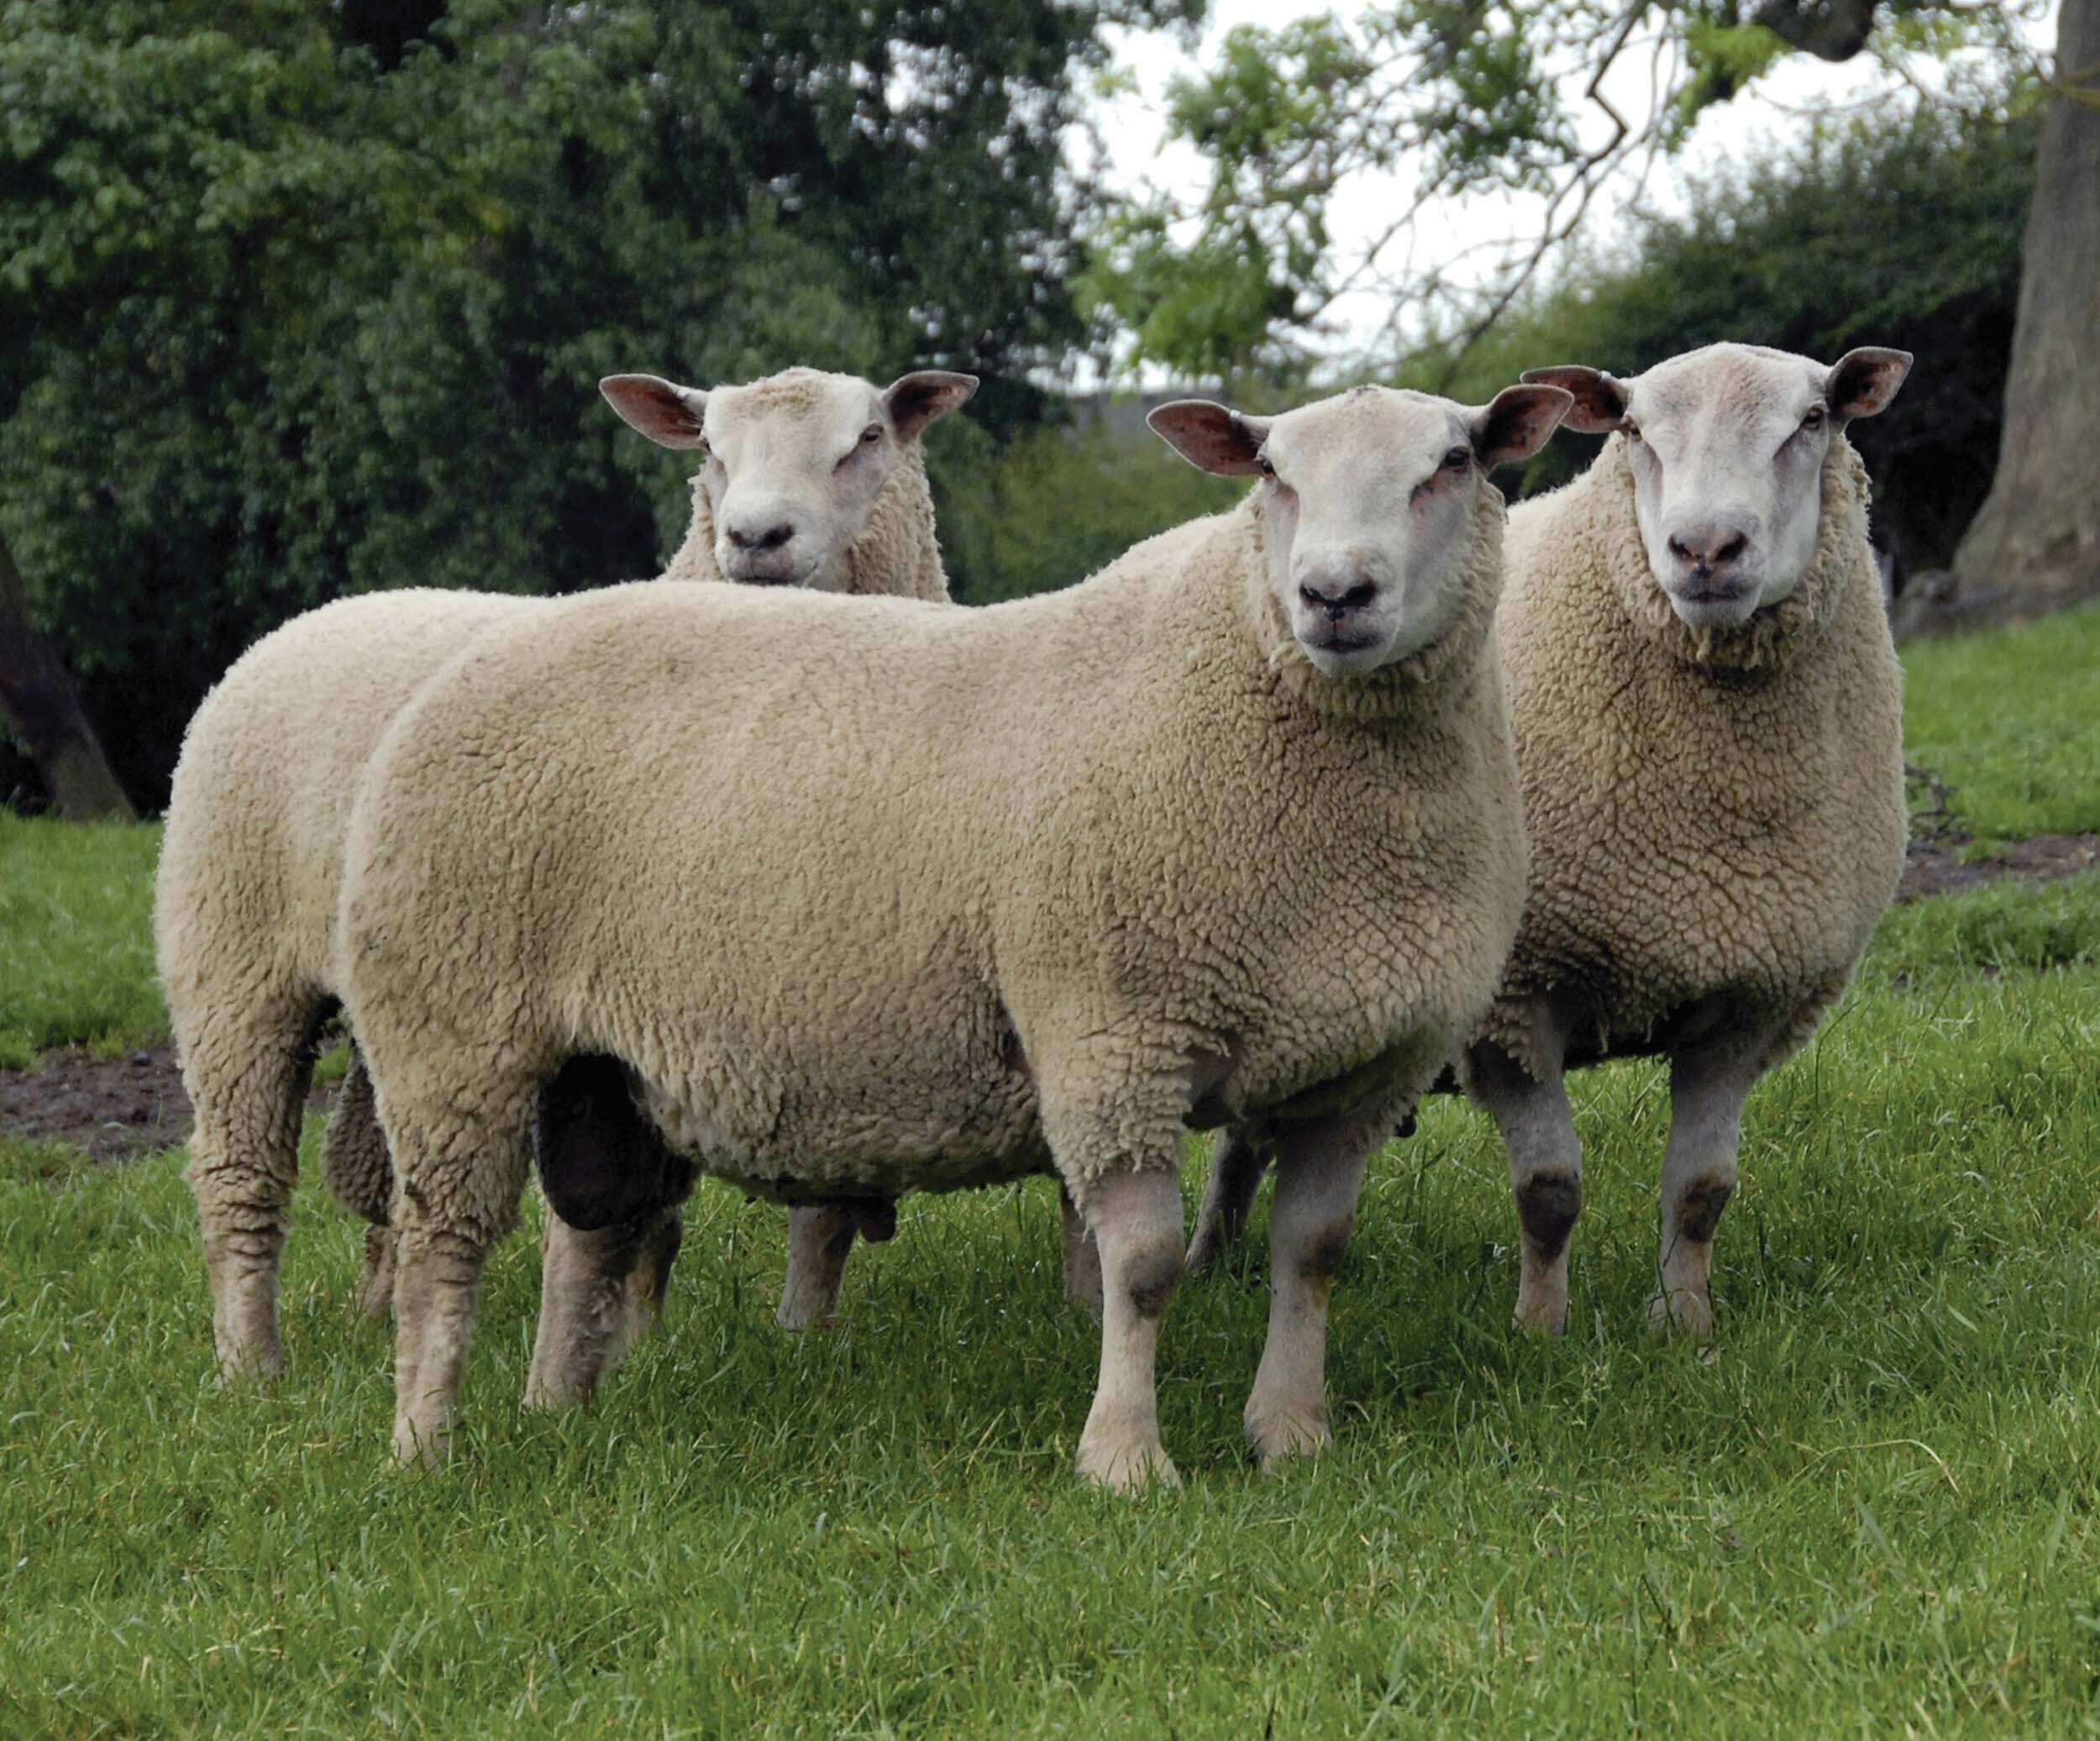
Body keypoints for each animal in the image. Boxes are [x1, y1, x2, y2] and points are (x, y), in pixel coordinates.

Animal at [161, 359, 974, 1377]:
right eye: (709, 450)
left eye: (868, 438)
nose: (755, 538)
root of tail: (324, 613)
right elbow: (613, 1213)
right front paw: (623, 1350)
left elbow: (800, 1210)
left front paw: (795, 1342)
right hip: (234, 958)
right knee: (240, 1172)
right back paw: (251, 1368)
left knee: (372, 1165)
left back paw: (371, 1310)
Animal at [336, 378, 1571, 1478]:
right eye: (1272, 472)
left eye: (1452, 463)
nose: (1333, 593)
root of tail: (486, 650)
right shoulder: (1109, 1036)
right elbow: (1142, 1268)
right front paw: (1125, 1461)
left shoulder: (1360, 1066)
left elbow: (1311, 1255)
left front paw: (1293, 1437)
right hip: (452, 1028)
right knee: (444, 1245)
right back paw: (424, 1447)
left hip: (596, 1070)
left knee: (588, 1236)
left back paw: (562, 1412)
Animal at [1184, 342, 1924, 1344]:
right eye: (1635, 431)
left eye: (1813, 421)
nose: (1704, 550)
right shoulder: (1513, 1001)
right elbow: (1548, 1189)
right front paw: (1541, 1333)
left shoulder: (1750, 995)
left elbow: (1702, 1189)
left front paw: (1686, 1325)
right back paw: (1202, 1265)